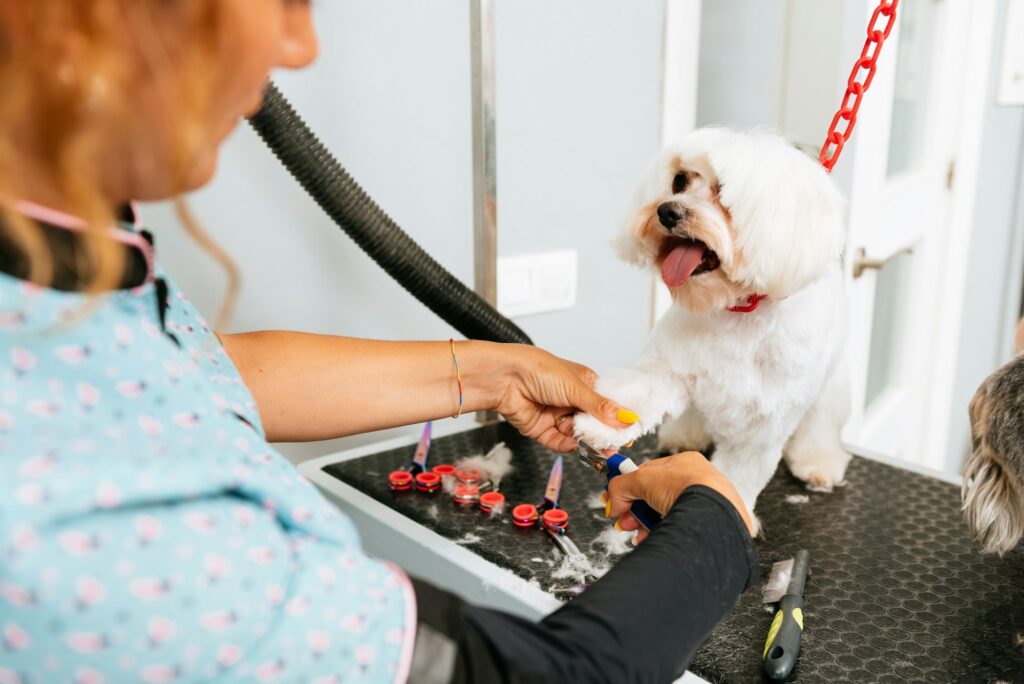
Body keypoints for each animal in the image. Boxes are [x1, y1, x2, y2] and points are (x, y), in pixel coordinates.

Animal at [581, 129, 851, 532]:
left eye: (722, 190)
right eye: (679, 181)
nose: (667, 210)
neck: (733, 310)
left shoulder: (761, 426)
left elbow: (740, 473)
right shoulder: (668, 366)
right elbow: (637, 395)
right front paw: (601, 427)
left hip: (830, 382)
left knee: (821, 421)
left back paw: (818, 462)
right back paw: (684, 435)